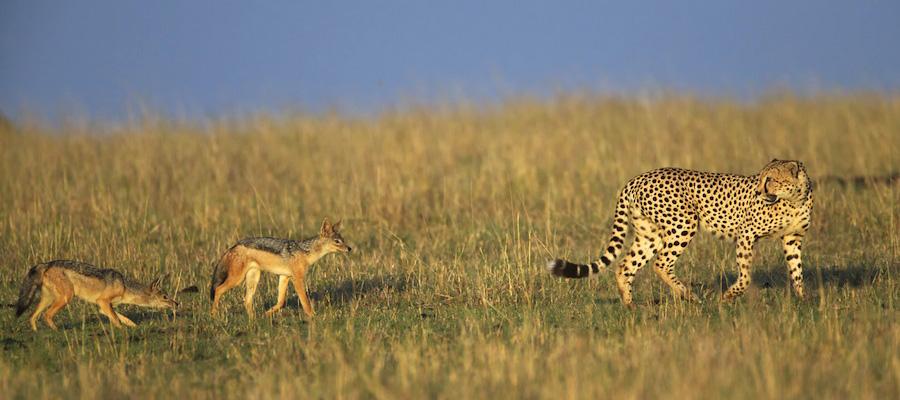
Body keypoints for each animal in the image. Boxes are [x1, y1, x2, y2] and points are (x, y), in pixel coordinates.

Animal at [548, 159, 816, 306]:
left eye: (770, 179)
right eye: (760, 178)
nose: (759, 191)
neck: (794, 199)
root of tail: (636, 178)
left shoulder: (793, 239)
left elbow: (797, 270)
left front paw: (804, 300)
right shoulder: (746, 234)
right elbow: (746, 275)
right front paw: (729, 297)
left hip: (651, 235)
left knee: (625, 266)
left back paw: (631, 306)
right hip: (684, 224)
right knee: (661, 264)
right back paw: (689, 296)